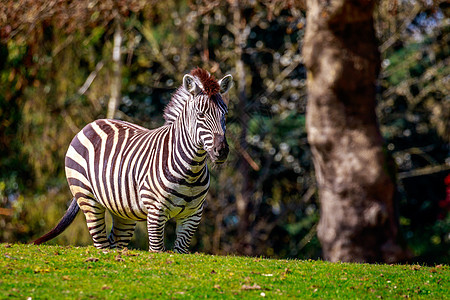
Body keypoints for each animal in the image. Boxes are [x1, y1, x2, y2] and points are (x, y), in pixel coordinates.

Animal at [32, 68, 232, 253]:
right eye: (201, 115)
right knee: (101, 242)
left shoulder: (193, 215)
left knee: (114, 242)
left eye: (225, 114)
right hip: (87, 197)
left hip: (123, 210)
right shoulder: (156, 212)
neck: (191, 171)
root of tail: (93, 123)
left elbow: (181, 250)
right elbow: (157, 250)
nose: (221, 151)